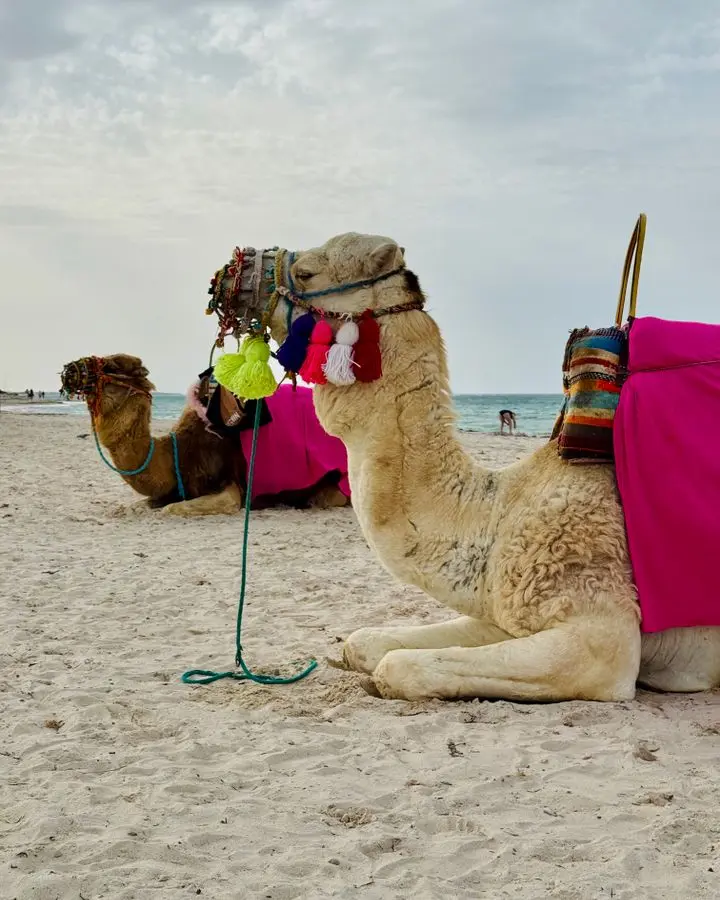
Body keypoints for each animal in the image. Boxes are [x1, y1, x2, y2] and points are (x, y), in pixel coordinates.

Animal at [61, 354, 350, 516]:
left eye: (110, 365)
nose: (69, 369)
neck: (178, 453)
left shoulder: (230, 486)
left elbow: (171, 509)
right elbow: (137, 506)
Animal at [212, 232, 720, 702]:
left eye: (308, 272)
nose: (230, 270)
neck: (497, 515)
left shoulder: (599, 626)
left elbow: (398, 666)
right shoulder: (504, 610)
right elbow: (365, 643)